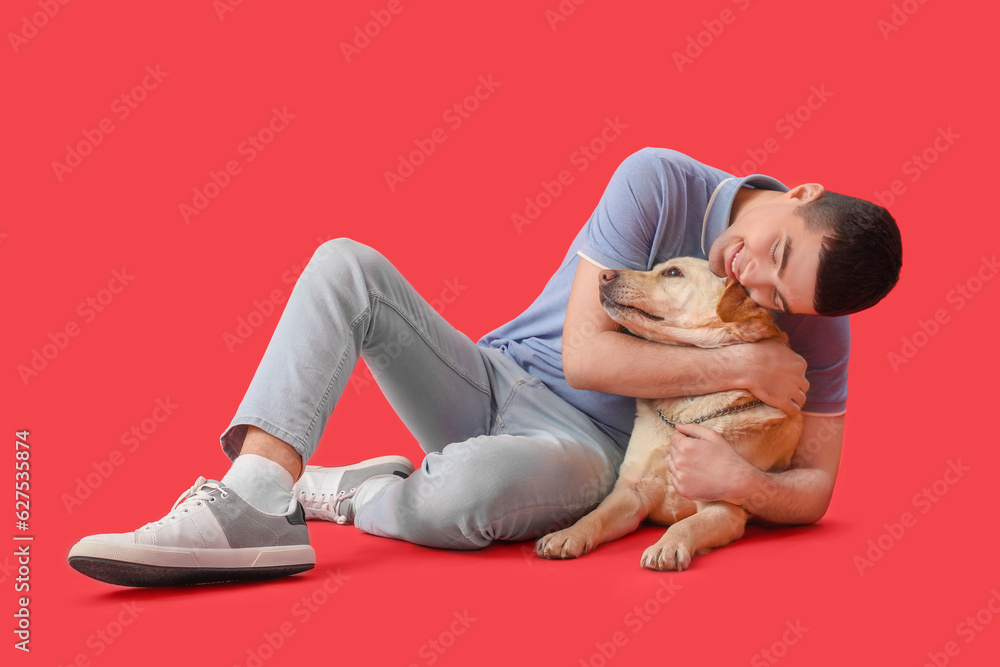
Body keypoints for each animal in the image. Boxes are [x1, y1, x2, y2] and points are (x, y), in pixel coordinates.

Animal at [536, 258, 800, 572]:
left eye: (673, 272)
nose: (603, 275)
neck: (683, 414)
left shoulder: (724, 507)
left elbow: (686, 524)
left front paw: (668, 545)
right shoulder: (631, 491)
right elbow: (595, 516)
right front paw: (568, 534)